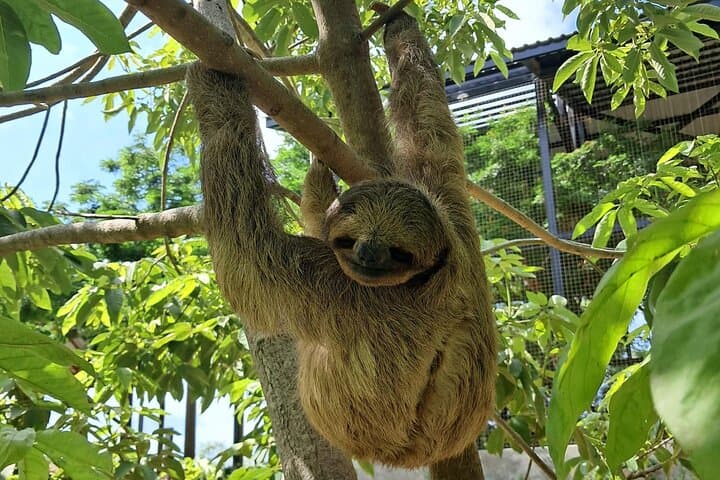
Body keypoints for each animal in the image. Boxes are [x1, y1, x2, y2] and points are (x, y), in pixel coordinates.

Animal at [186, 9, 496, 471]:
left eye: (400, 253)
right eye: (351, 239)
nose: (369, 255)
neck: (437, 271)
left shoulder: (340, 292)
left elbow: (248, 260)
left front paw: (220, 84)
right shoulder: (454, 213)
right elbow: (429, 129)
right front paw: (398, 25)